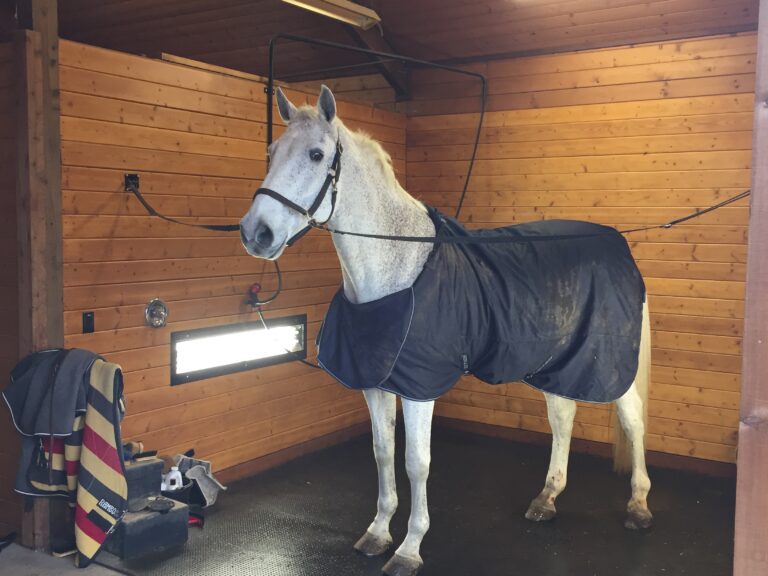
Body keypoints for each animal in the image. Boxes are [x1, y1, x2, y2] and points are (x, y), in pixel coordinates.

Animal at [242, 86, 656, 576]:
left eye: (316, 154)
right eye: (270, 152)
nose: (255, 233)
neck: (397, 270)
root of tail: (617, 243)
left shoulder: (419, 388)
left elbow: (416, 462)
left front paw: (409, 548)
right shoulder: (376, 384)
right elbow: (383, 452)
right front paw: (378, 532)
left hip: (612, 366)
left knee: (632, 420)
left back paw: (639, 506)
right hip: (554, 361)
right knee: (562, 416)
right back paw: (547, 499)